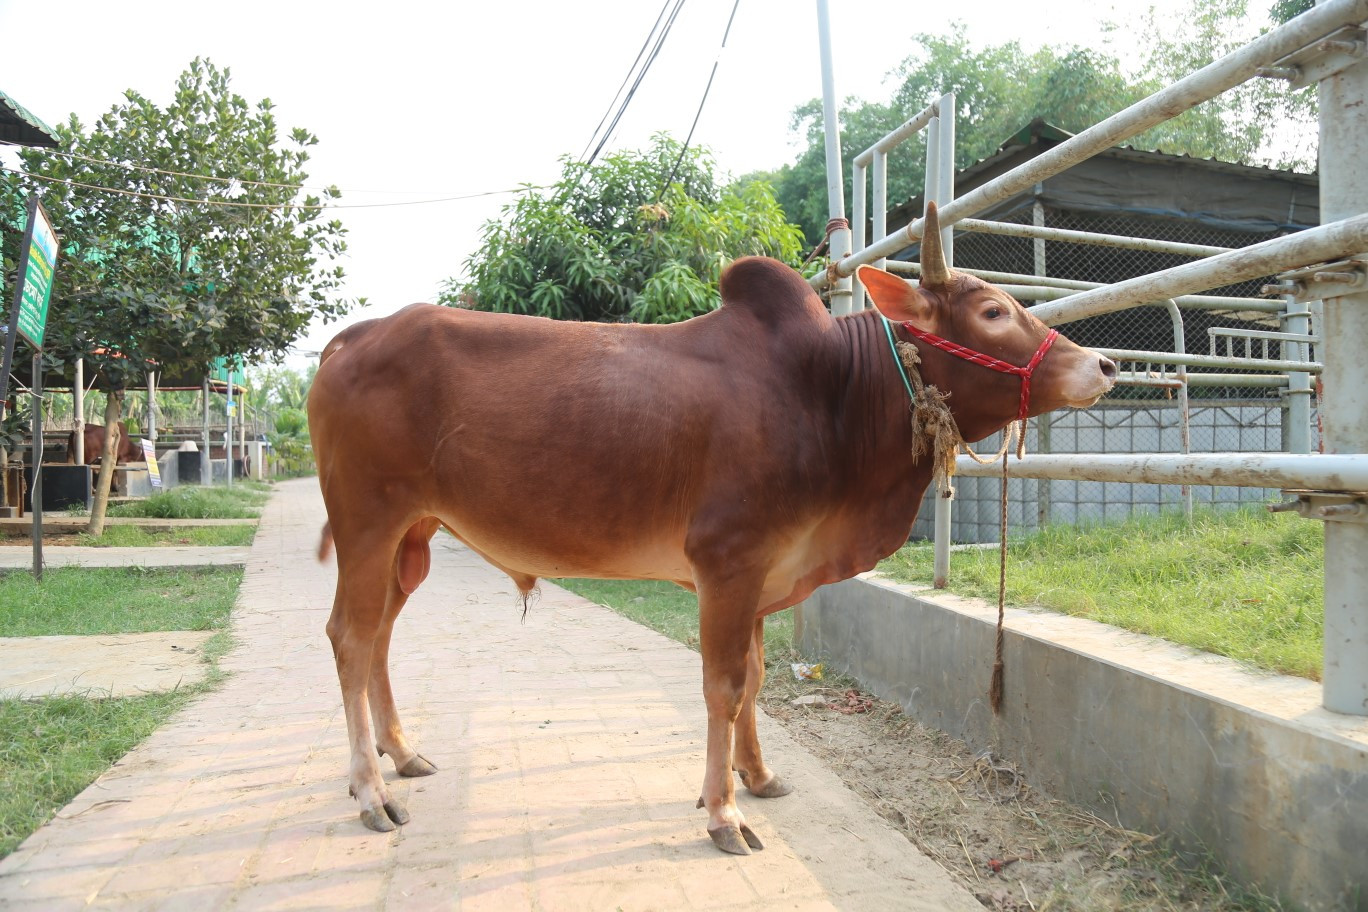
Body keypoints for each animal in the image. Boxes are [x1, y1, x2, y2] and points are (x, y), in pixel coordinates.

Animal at [308, 202, 1117, 853]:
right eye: (992, 313)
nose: (1105, 365)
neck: (831, 392)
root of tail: (351, 340)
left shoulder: (763, 572)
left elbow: (754, 677)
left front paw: (756, 775)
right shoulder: (729, 562)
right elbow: (724, 684)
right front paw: (724, 811)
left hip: (412, 536)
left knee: (379, 634)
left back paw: (401, 755)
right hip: (367, 522)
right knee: (348, 637)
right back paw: (370, 791)